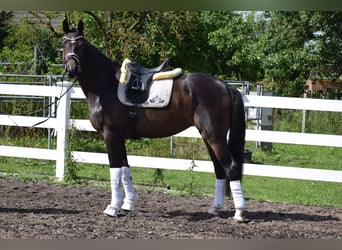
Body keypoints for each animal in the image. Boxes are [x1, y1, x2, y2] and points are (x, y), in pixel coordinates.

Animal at [61, 20, 247, 223]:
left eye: (81, 45)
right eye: (64, 43)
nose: (71, 70)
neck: (106, 85)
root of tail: (226, 86)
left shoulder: (111, 135)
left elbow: (115, 170)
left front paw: (113, 207)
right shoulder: (120, 137)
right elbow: (125, 169)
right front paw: (128, 204)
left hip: (215, 137)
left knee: (231, 167)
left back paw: (239, 213)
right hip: (209, 137)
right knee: (219, 169)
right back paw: (215, 208)